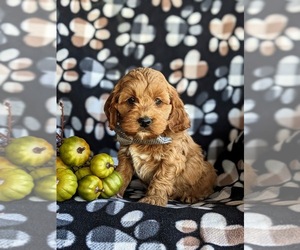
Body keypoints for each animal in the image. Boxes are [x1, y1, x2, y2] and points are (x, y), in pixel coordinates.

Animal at [104, 67, 217, 206]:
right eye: (131, 100)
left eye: (158, 101)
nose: (145, 121)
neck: (146, 140)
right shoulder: (125, 155)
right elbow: (122, 172)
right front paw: (114, 192)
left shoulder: (171, 159)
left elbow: (161, 177)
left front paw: (154, 198)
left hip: (207, 170)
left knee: (206, 188)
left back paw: (192, 195)